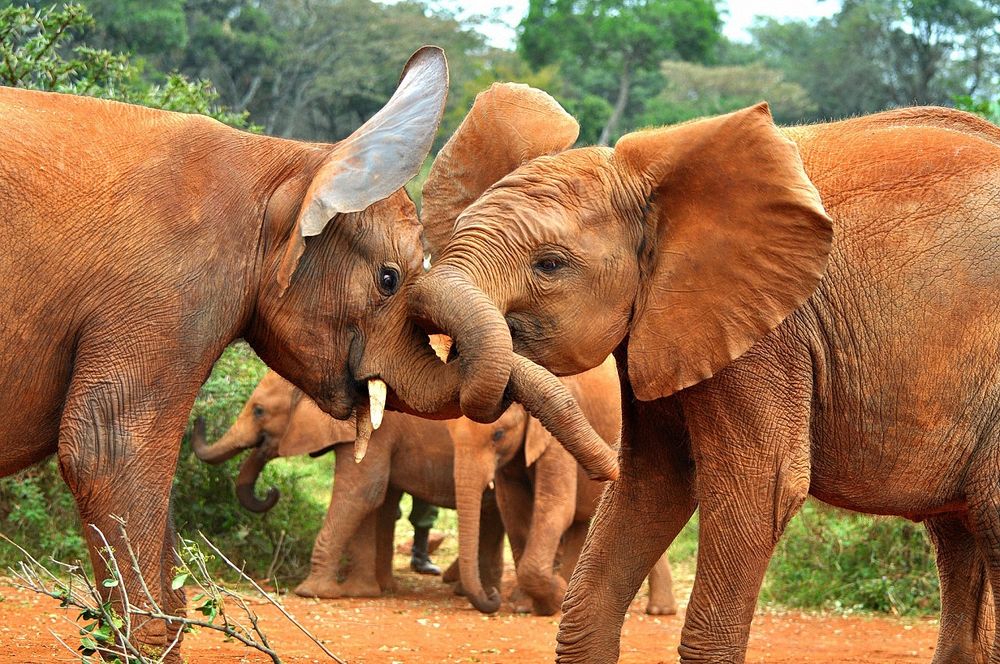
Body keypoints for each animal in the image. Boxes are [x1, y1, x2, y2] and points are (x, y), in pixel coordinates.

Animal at [191, 370, 508, 600]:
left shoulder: (378, 429)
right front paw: (366, 591)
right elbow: (376, 501)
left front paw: (313, 592)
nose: (271, 491)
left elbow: (362, 492)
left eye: (259, 411)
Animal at [448, 358, 676, 616]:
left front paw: (552, 597)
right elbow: (513, 511)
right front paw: (524, 605)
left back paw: (659, 610)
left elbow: (555, 506)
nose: (493, 595)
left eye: (498, 435)